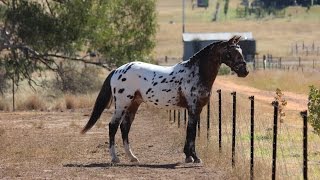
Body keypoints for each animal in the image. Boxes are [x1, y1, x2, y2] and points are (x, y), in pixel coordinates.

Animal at [81, 35, 249, 164]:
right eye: (232, 52)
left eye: (240, 51)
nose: (244, 71)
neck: (195, 72)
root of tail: (117, 70)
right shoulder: (194, 108)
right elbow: (191, 132)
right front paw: (195, 158)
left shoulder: (196, 109)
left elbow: (190, 132)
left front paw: (188, 157)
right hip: (122, 104)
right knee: (113, 126)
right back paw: (115, 158)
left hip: (133, 104)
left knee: (124, 127)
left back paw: (133, 157)